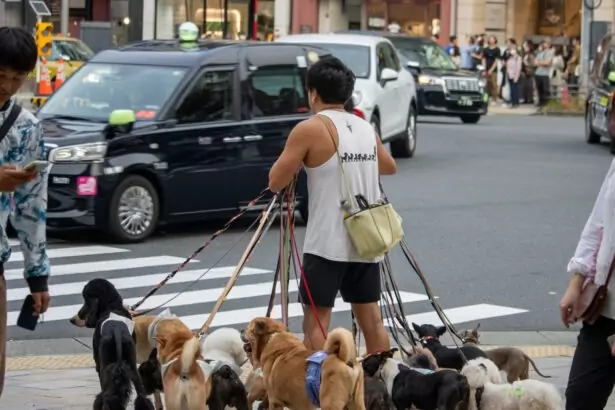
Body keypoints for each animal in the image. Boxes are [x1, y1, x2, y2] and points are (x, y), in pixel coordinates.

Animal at [73, 278, 155, 410]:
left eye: (86, 299)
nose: (79, 315)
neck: (112, 307)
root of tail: (116, 331)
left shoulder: (99, 365)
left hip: (105, 369)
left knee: (106, 395)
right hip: (132, 367)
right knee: (142, 396)